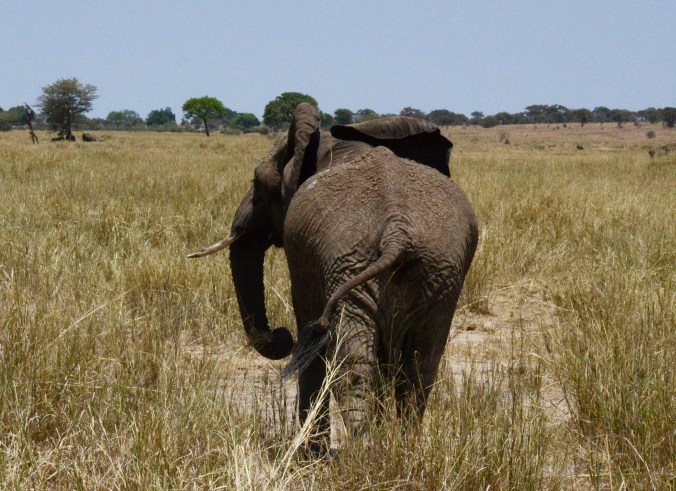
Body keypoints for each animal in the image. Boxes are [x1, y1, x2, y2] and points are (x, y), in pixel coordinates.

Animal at [189, 103, 478, 451]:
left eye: (256, 183)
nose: (280, 335)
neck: (331, 144)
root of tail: (397, 230)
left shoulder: (307, 259)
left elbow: (310, 329)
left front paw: (311, 452)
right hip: (436, 272)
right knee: (421, 364)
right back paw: (398, 450)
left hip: (356, 265)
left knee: (351, 362)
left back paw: (365, 453)